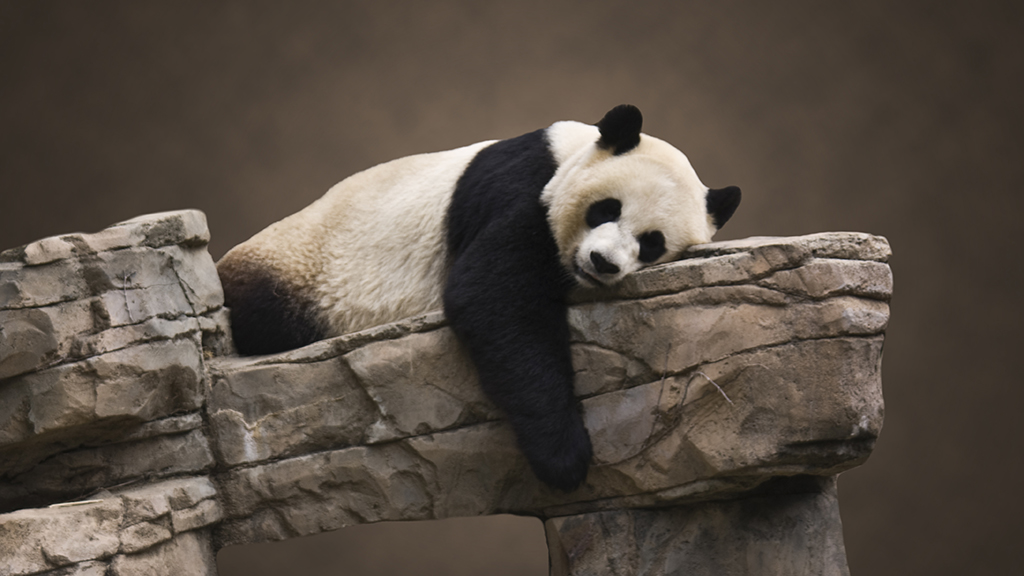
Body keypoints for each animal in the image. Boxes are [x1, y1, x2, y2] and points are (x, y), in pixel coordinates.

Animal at [217, 105, 741, 491]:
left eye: (651, 243)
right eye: (606, 209)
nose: (602, 262)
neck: (573, 149)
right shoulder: (524, 186)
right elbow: (491, 295)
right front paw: (565, 459)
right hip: (302, 270)